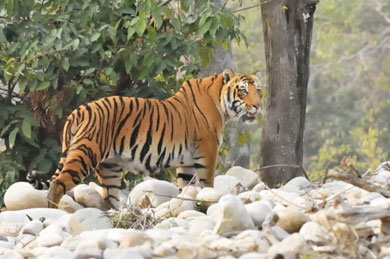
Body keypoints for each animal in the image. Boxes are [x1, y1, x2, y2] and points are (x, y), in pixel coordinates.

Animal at [48, 69, 262, 211]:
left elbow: (186, 187)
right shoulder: (207, 152)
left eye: (258, 90)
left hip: (110, 168)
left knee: (109, 197)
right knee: (57, 183)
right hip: (86, 153)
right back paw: (52, 209)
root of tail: (79, 110)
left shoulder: (187, 161)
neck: (220, 102)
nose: (258, 106)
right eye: (243, 91)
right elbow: (207, 183)